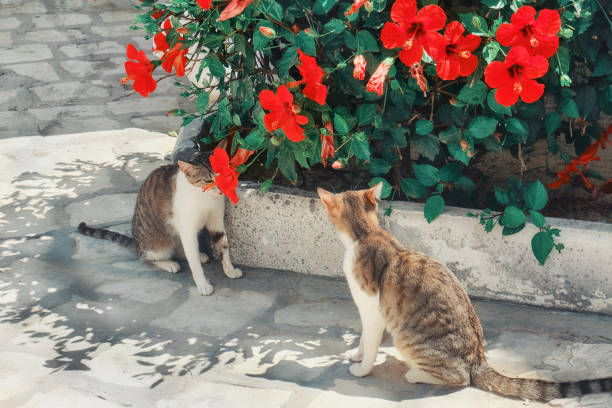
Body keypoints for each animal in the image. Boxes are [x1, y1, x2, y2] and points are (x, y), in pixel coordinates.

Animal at [76, 158, 239, 294]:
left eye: (225, 176)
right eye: (208, 180)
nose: (221, 190)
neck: (206, 198)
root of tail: (138, 243)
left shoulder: (216, 222)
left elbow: (223, 247)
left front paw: (230, 270)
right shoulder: (187, 229)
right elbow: (194, 263)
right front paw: (203, 284)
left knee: (180, 250)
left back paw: (199, 255)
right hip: (158, 243)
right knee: (146, 257)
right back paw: (169, 264)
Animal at [318, 185, 608, 402]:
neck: (365, 234)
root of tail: (478, 359)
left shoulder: (372, 311)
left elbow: (370, 343)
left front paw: (361, 367)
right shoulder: (366, 311)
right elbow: (363, 339)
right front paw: (356, 354)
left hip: (406, 338)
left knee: (461, 378)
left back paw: (415, 374)